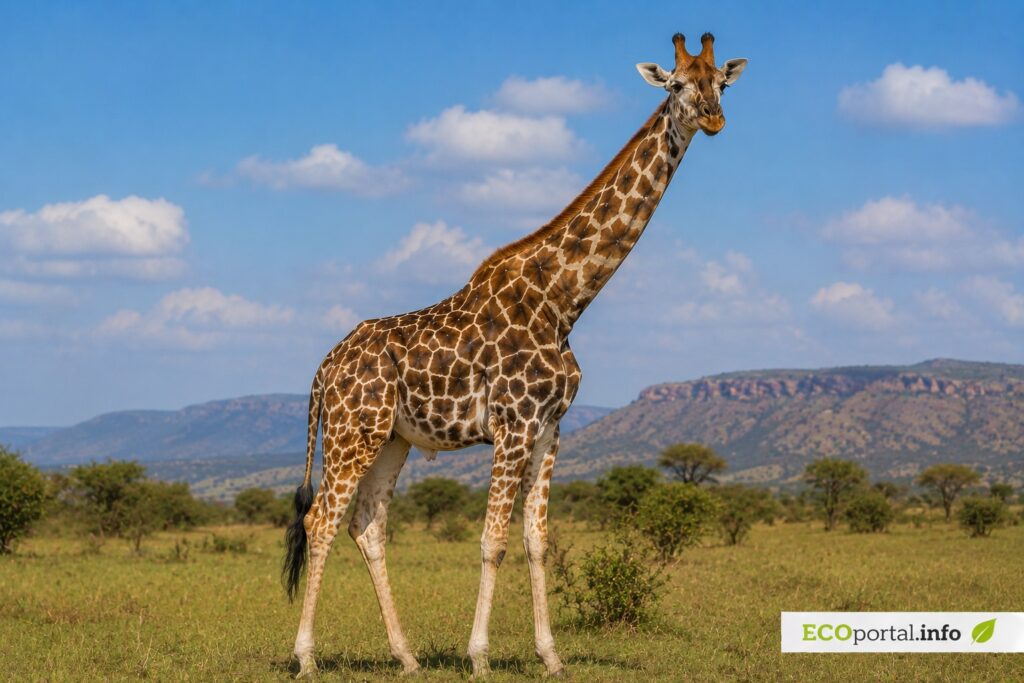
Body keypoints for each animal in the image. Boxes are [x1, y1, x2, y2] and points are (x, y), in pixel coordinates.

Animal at [283, 32, 747, 678]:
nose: (712, 118)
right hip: (354, 430)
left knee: (367, 524)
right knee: (320, 520)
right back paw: (305, 658)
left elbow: (536, 541)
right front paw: (478, 656)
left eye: (721, 83)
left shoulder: (550, 428)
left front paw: (550, 656)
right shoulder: (514, 425)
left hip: (392, 437)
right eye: (677, 84)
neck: (563, 301)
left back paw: (406, 656)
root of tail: (323, 369)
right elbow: (492, 541)